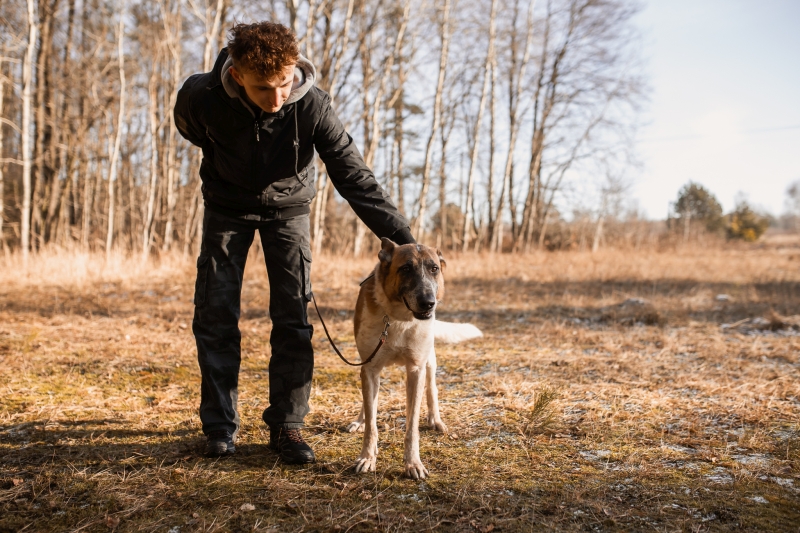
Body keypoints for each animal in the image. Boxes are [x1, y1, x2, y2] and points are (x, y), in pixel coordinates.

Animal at [346, 238, 482, 479]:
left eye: (434, 269)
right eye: (406, 269)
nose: (428, 302)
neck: (399, 318)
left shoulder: (416, 369)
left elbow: (412, 426)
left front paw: (413, 463)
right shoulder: (370, 368)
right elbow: (372, 422)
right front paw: (367, 457)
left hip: (430, 360)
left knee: (432, 388)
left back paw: (436, 420)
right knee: (368, 404)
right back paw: (360, 420)